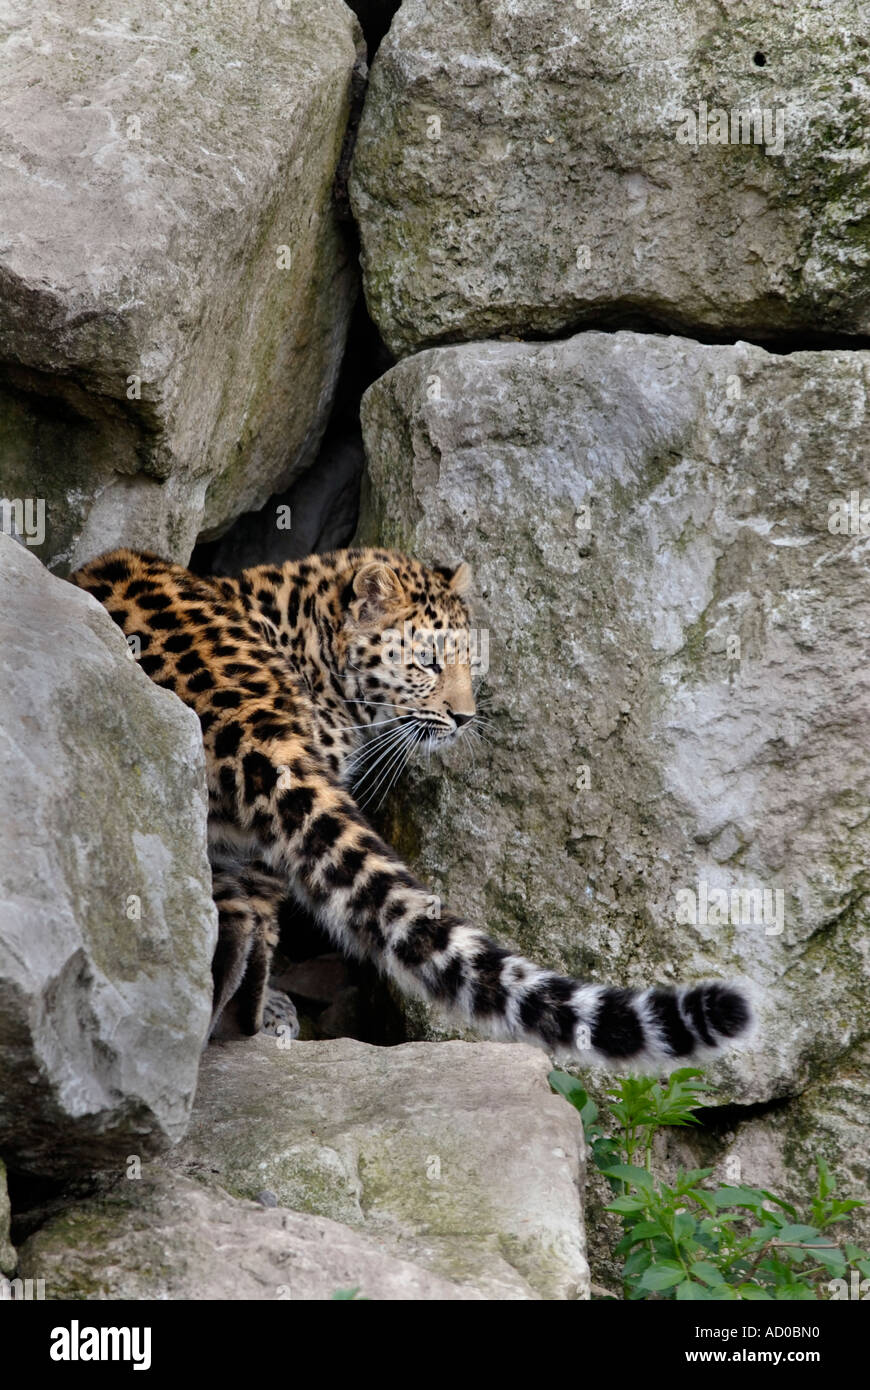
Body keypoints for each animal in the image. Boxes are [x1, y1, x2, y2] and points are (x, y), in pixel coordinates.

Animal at [71, 544, 751, 1065]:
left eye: (471, 661)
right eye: (426, 662)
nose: (466, 716)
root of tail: (237, 713)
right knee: (253, 925)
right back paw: (256, 1022)